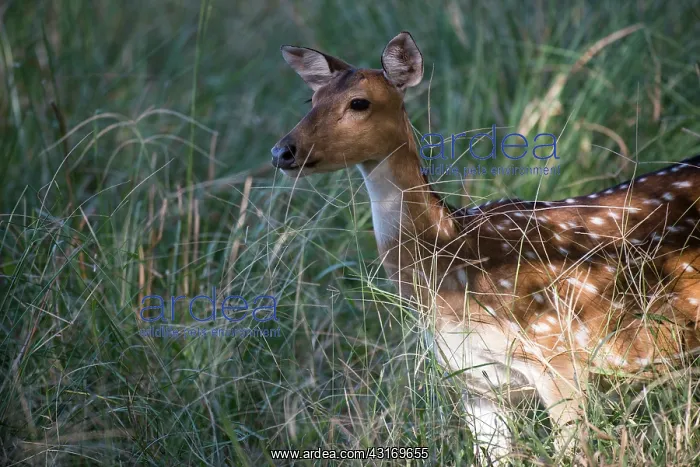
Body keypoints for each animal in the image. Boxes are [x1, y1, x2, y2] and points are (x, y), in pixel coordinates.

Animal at [270, 31, 700, 464]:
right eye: (311, 100)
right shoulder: (474, 383)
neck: (453, 258)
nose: (282, 151)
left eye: (359, 102)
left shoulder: (559, 358)